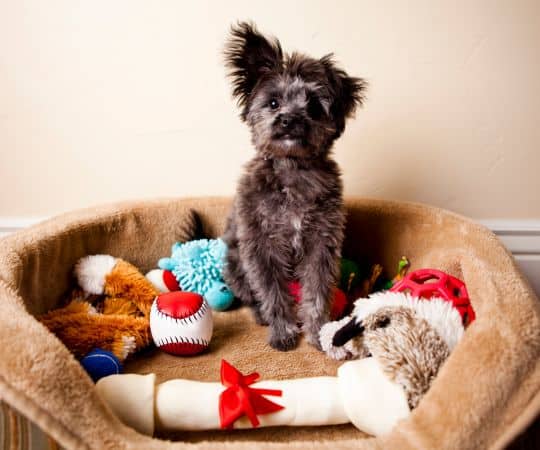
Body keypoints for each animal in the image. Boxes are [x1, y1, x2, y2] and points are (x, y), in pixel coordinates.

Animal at [222, 22, 366, 351]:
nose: (288, 119)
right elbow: (272, 293)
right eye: (273, 102)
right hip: (236, 264)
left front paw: (317, 332)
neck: (292, 171)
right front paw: (283, 331)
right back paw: (260, 315)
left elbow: (318, 291)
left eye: (313, 106)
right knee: (251, 295)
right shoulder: (261, 247)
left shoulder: (321, 244)